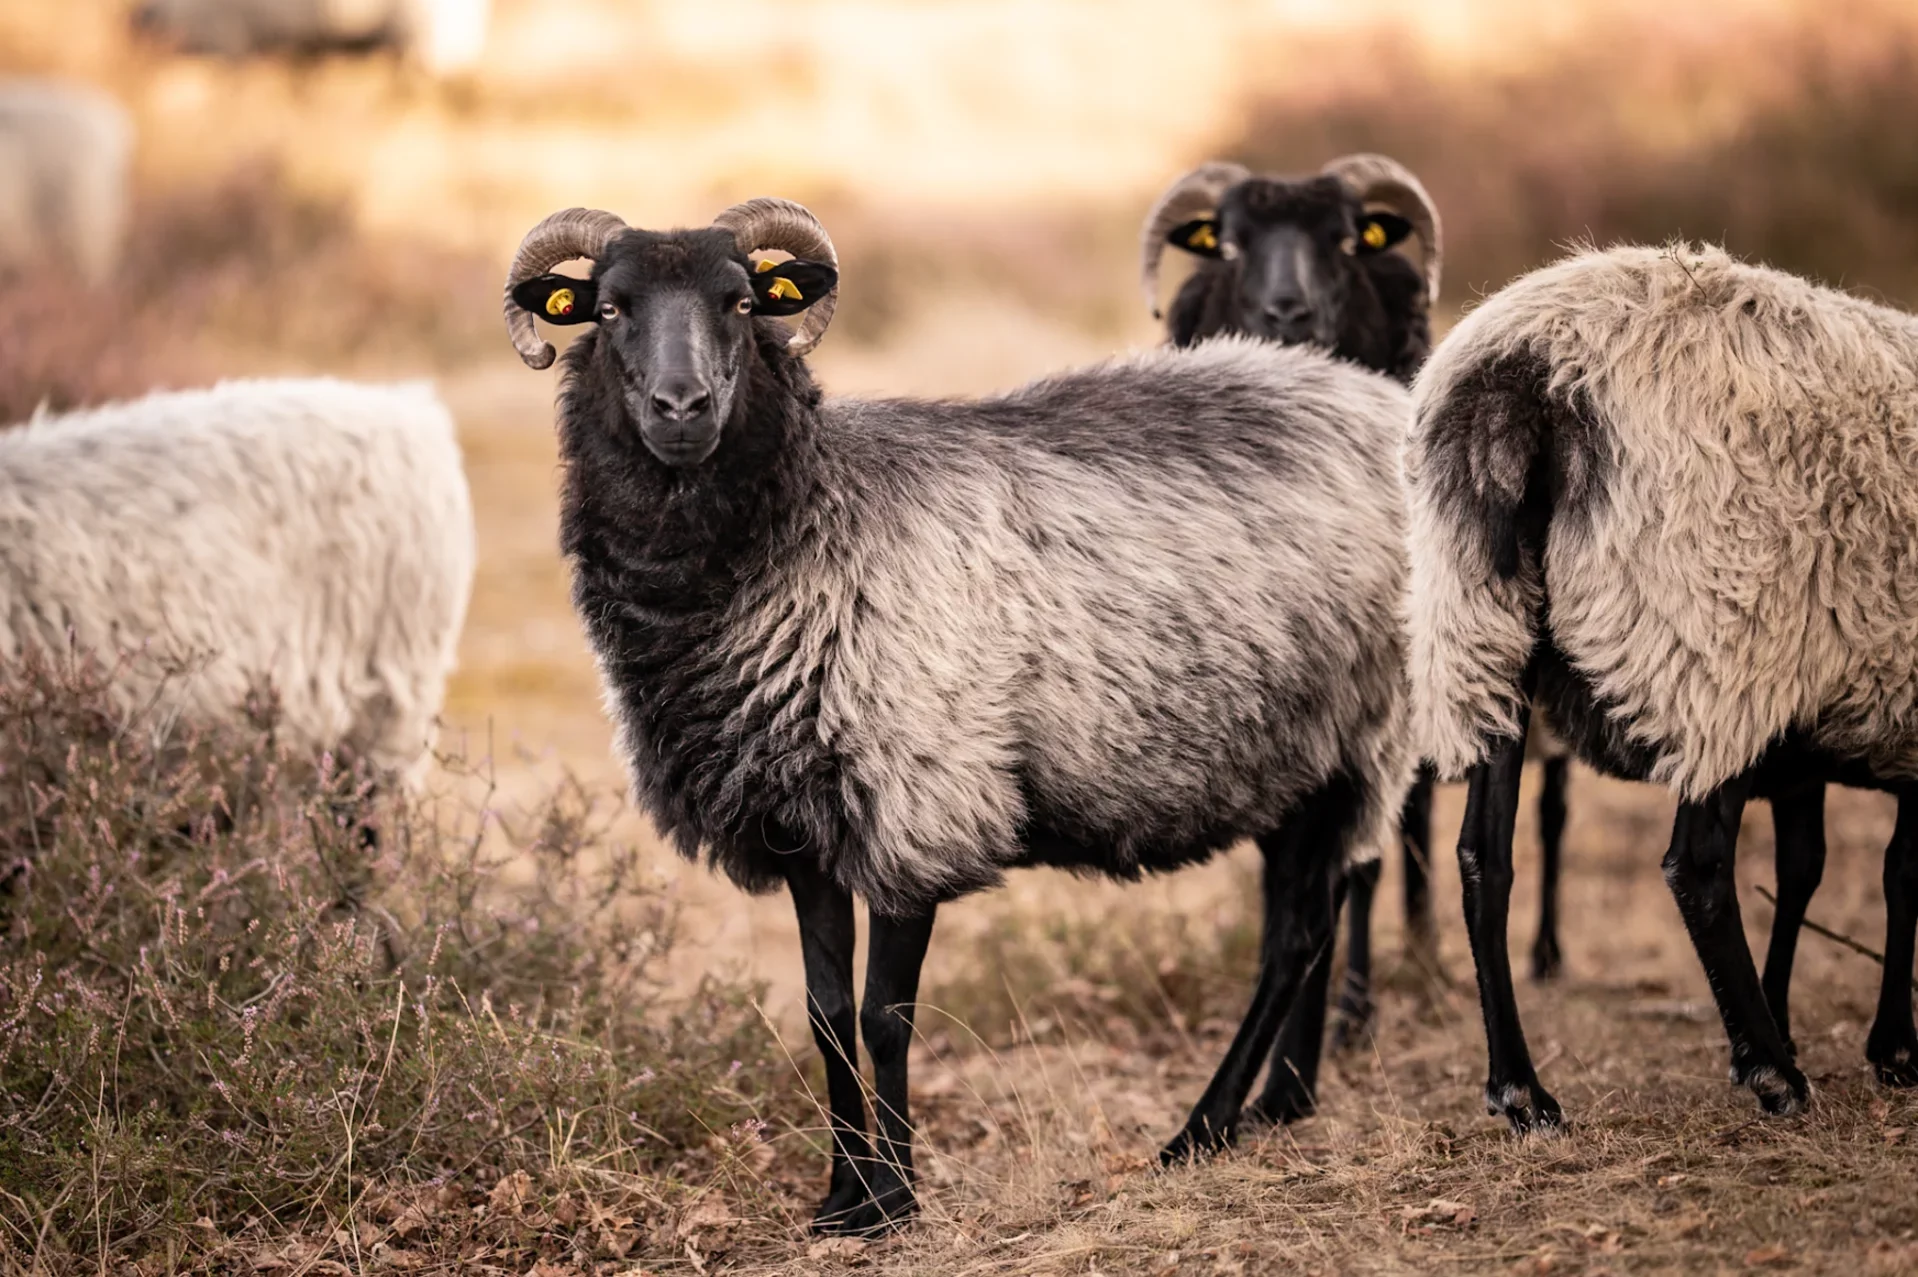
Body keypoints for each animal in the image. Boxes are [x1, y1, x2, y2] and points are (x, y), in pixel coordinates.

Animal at [502, 198, 1418, 1235]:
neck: (810, 528)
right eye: (610, 308)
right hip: (1285, 752)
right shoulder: (798, 827)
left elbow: (885, 1014)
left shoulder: (918, 800)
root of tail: (1380, 395)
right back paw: (1280, 1102)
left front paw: (895, 1199)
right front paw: (840, 1194)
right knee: (1303, 917)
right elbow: (825, 1012)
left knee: (1300, 931)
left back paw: (1205, 1126)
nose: (683, 408)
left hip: (1361, 731)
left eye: (740, 302)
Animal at [1403, 240, 1918, 1133]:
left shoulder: (1806, 728)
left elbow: (1811, 865)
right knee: (1697, 866)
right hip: (1717, 646)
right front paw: (1892, 1048)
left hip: (1481, 627)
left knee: (1484, 858)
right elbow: (1898, 873)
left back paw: (1523, 1090)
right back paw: (1776, 1073)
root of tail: (1529, 376)